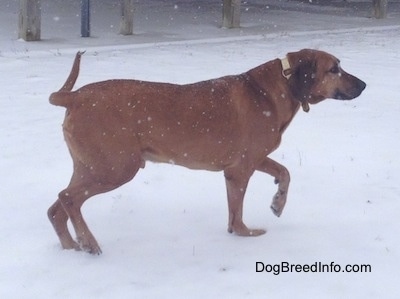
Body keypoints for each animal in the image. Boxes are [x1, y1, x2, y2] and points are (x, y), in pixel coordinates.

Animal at [47, 49, 366, 255]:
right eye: (334, 69)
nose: (364, 84)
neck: (281, 85)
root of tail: (73, 96)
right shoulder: (240, 169)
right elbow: (237, 216)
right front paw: (247, 233)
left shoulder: (251, 159)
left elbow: (284, 172)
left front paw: (278, 202)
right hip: (116, 168)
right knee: (68, 198)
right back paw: (88, 243)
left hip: (90, 166)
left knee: (57, 207)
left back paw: (70, 247)